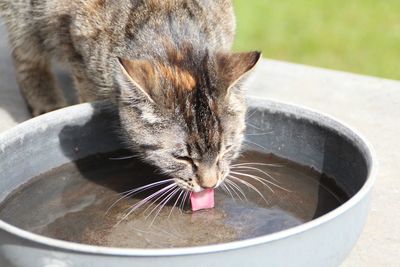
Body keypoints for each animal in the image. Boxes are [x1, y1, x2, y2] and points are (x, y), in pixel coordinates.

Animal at [0, 0, 260, 193]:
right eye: (182, 158)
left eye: (226, 150)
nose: (210, 185)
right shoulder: (75, 47)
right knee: (26, 57)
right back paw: (47, 102)